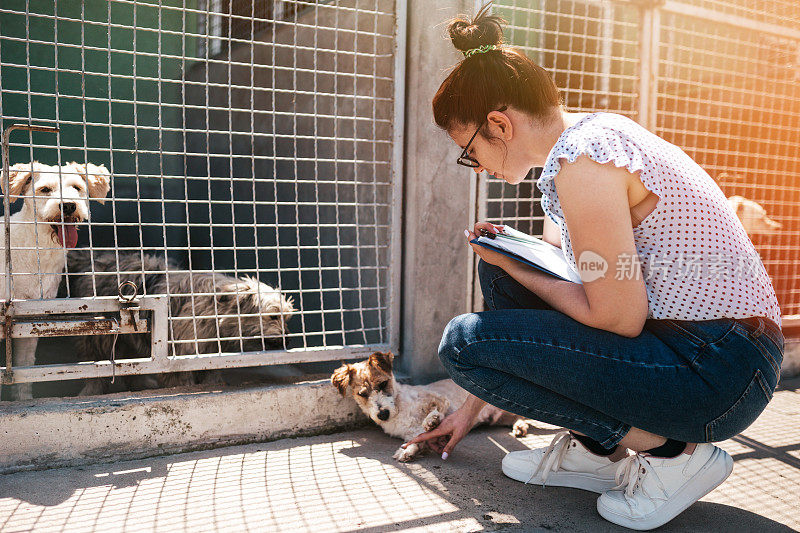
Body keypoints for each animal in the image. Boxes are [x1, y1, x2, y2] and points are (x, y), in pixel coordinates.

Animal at [0, 160, 110, 396]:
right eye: (44, 190)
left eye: (77, 188)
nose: (68, 206)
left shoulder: (29, 318)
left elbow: (25, 370)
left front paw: (23, 399)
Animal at [65, 247, 296, 392]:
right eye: (273, 316)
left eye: (287, 318)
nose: (288, 338)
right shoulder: (182, 353)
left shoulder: (209, 353)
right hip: (100, 336)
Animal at [332, 352, 532, 460]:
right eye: (362, 394)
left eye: (382, 384)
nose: (382, 414)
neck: (399, 406)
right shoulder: (408, 432)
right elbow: (417, 438)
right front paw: (410, 450)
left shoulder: (440, 399)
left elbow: (435, 413)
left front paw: (432, 421)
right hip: (500, 417)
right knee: (518, 417)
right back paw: (519, 427)